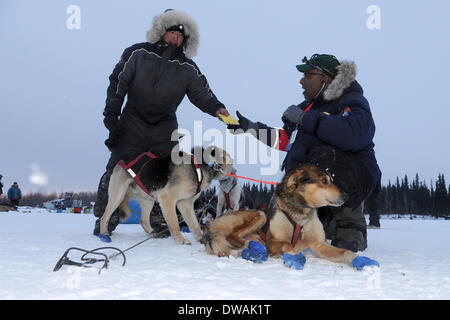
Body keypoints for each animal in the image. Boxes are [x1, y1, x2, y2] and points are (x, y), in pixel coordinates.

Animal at [99, 146, 236, 245]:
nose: (235, 171)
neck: (199, 167)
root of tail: (122, 159)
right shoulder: (168, 200)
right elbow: (174, 223)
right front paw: (181, 240)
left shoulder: (185, 204)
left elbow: (194, 224)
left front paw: (201, 238)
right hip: (118, 196)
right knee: (104, 216)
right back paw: (104, 234)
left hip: (149, 199)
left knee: (143, 220)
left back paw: (153, 233)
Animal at [202, 162, 378, 270]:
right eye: (324, 181)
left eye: (331, 179)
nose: (346, 196)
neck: (301, 214)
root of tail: (210, 227)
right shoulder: (274, 242)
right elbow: (290, 245)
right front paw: (295, 251)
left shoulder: (319, 245)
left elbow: (345, 252)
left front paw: (359, 260)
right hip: (260, 215)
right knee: (233, 237)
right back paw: (250, 245)